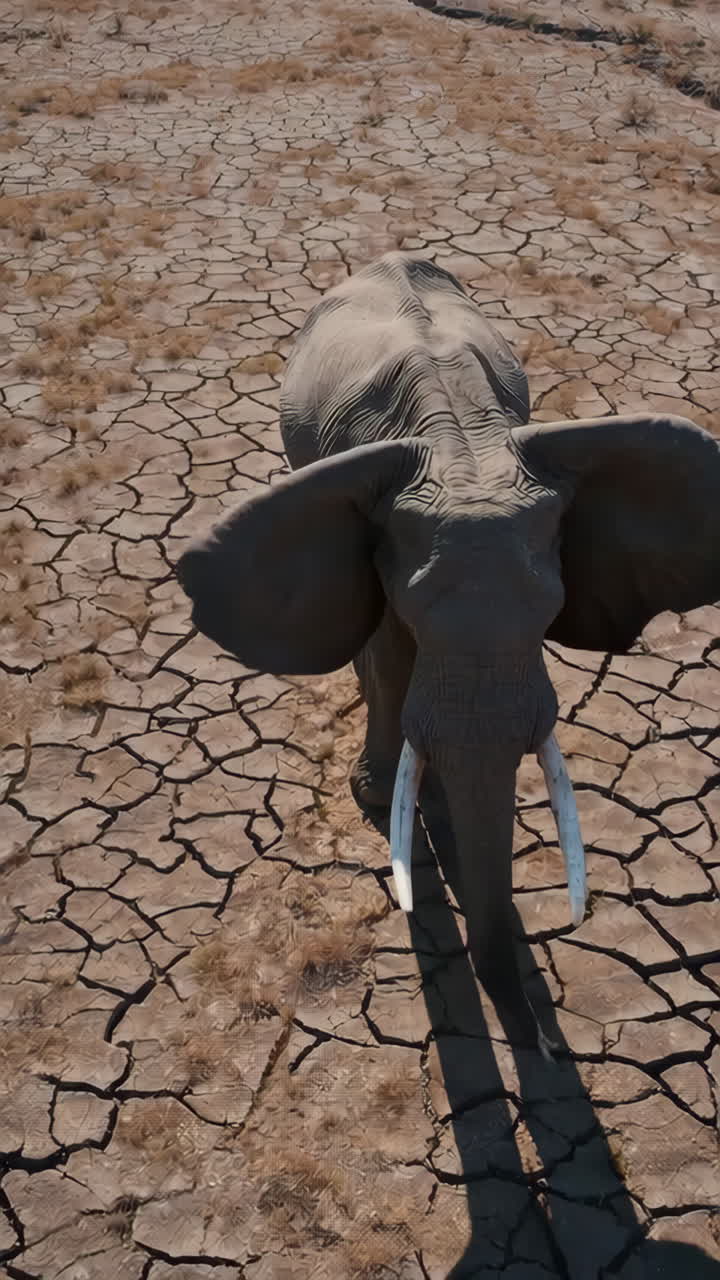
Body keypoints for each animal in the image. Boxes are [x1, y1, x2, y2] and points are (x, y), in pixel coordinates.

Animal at [176, 252, 720, 1055]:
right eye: (412, 607)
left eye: (551, 612)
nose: (547, 1045)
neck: (465, 450)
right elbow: (386, 657)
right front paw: (383, 800)